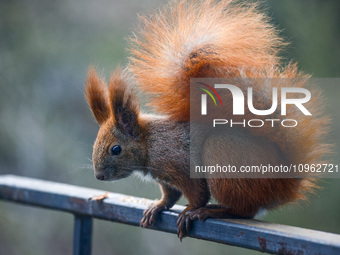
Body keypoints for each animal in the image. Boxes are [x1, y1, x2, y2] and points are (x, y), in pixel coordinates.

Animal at [85, 0, 332, 240]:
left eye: (116, 149)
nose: (99, 176)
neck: (150, 143)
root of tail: (283, 183)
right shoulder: (165, 178)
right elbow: (170, 195)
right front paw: (157, 206)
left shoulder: (179, 162)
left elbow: (197, 193)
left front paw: (188, 211)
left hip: (222, 156)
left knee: (244, 210)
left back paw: (210, 211)